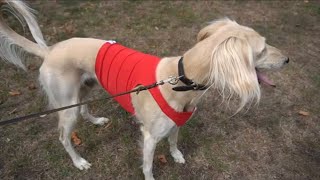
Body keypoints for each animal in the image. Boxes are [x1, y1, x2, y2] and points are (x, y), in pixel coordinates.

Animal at [0, 0, 288, 179]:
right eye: (262, 50)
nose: (287, 59)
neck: (180, 79)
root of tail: (49, 50)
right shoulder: (149, 137)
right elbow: (148, 167)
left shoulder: (176, 123)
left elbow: (173, 142)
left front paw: (177, 156)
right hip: (66, 105)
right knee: (63, 136)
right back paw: (78, 161)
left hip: (85, 88)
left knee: (83, 109)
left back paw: (95, 120)